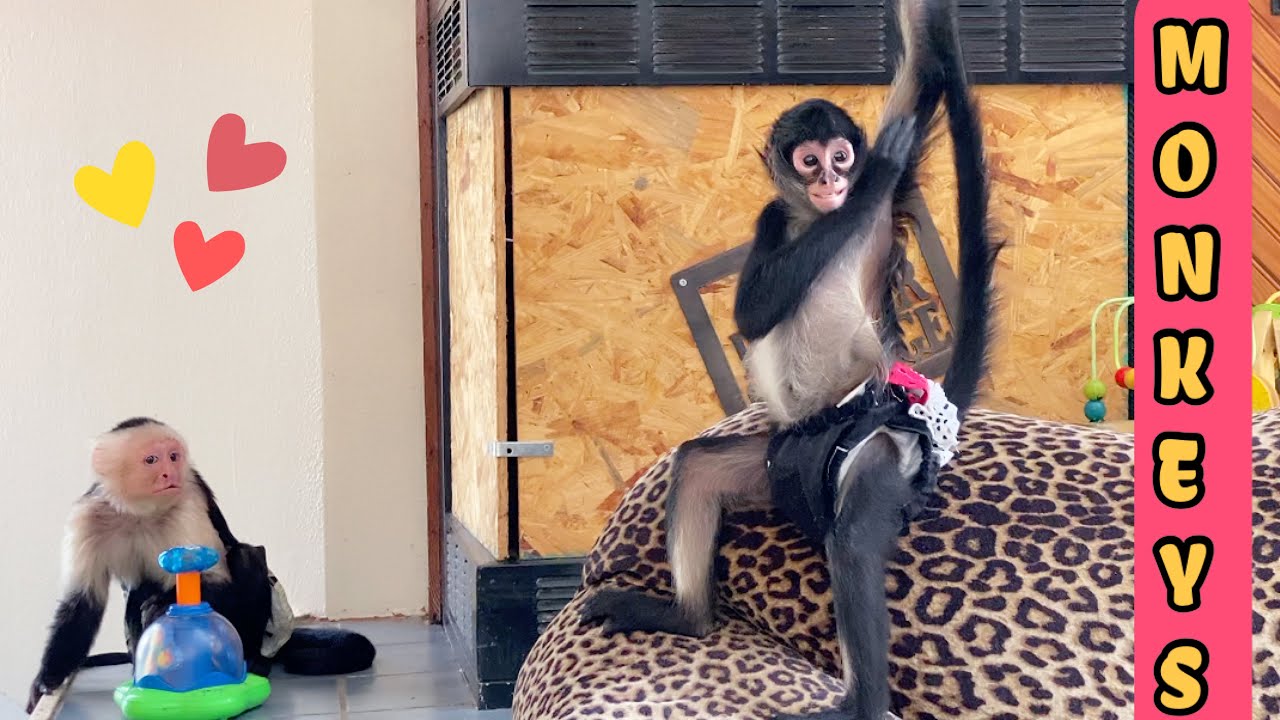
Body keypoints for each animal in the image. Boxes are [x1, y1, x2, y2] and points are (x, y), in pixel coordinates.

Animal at [26, 417, 377, 714]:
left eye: (174, 456)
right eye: (151, 460)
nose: (169, 474)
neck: (141, 511)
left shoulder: (187, 499)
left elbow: (217, 582)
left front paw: (162, 605)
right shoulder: (88, 516)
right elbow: (81, 604)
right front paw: (46, 681)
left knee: (246, 555)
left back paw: (253, 662)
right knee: (133, 596)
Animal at [580, 0, 1000, 718]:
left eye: (839, 155)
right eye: (809, 161)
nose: (834, 181)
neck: (816, 223)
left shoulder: (873, 215)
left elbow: (919, 81)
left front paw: (881, 166)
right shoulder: (771, 220)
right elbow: (752, 312)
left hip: (882, 445)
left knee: (852, 541)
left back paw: (860, 703)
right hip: (781, 460)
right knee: (696, 467)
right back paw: (686, 618)